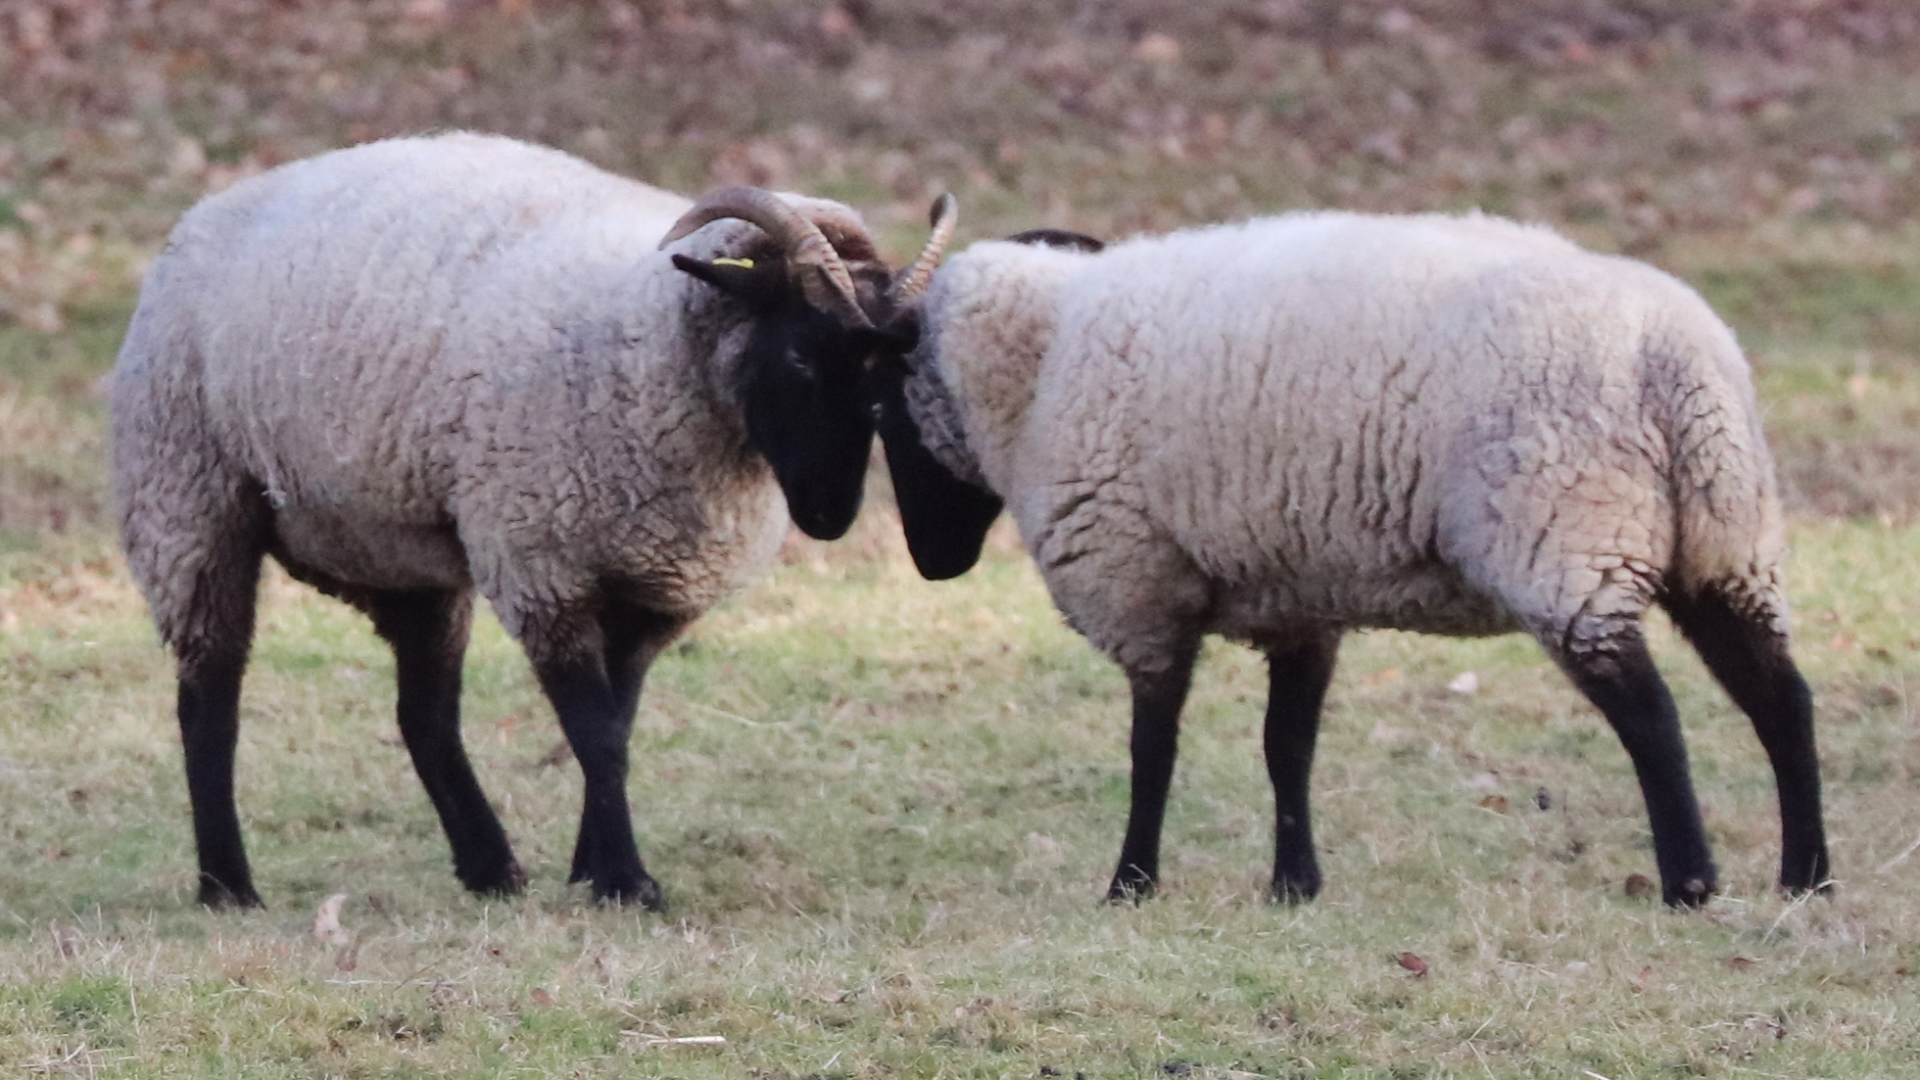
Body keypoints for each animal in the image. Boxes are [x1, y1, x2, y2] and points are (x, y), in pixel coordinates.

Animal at [110, 132, 957, 909]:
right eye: (802, 358)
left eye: (886, 378)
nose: (831, 513)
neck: (640, 338)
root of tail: (207, 211)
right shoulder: (541, 569)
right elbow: (597, 735)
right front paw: (626, 881)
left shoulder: (652, 588)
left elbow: (615, 727)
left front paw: (592, 871)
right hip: (190, 503)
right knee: (208, 702)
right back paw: (228, 886)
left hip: (400, 546)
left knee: (423, 717)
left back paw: (490, 870)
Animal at [869, 212, 1832, 908]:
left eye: (879, 405)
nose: (934, 563)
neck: (1037, 365)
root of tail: (1674, 355)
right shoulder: (1299, 598)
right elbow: (1286, 746)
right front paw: (1294, 887)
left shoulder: (1136, 584)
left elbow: (1152, 747)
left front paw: (1130, 885)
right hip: (1725, 540)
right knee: (1782, 700)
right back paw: (1806, 879)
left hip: (1567, 539)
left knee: (1655, 717)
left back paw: (1692, 886)